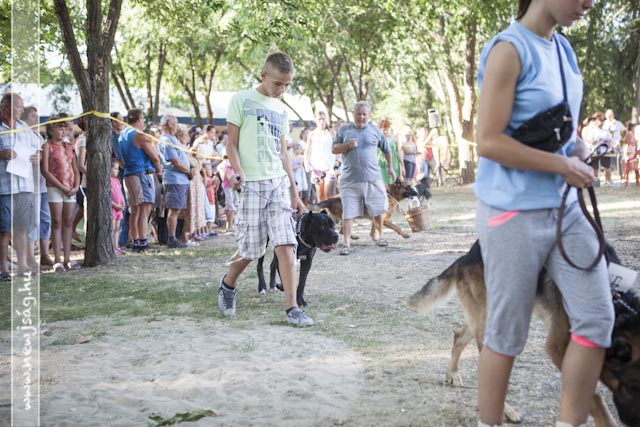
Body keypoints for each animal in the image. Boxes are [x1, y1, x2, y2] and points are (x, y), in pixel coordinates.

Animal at [408, 240, 640, 426]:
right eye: (632, 387)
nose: (632, 422)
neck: (614, 301)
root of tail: (465, 257)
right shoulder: (559, 346)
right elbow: (593, 398)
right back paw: (506, 411)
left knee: (459, 335)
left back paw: (453, 374)